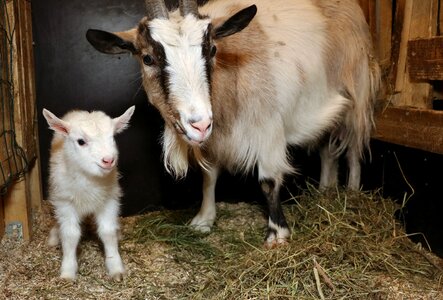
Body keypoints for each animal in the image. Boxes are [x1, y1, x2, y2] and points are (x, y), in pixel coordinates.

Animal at [43, 104, 134, 280]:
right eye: (81, 141)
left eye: (113, 137)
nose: (108, 160)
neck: (89, 178)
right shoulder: (65, 203)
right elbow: (70, 234)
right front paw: (68, 271)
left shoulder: (109, 200)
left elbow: (107, 232)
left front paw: (115, 267)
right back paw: (54, 236)